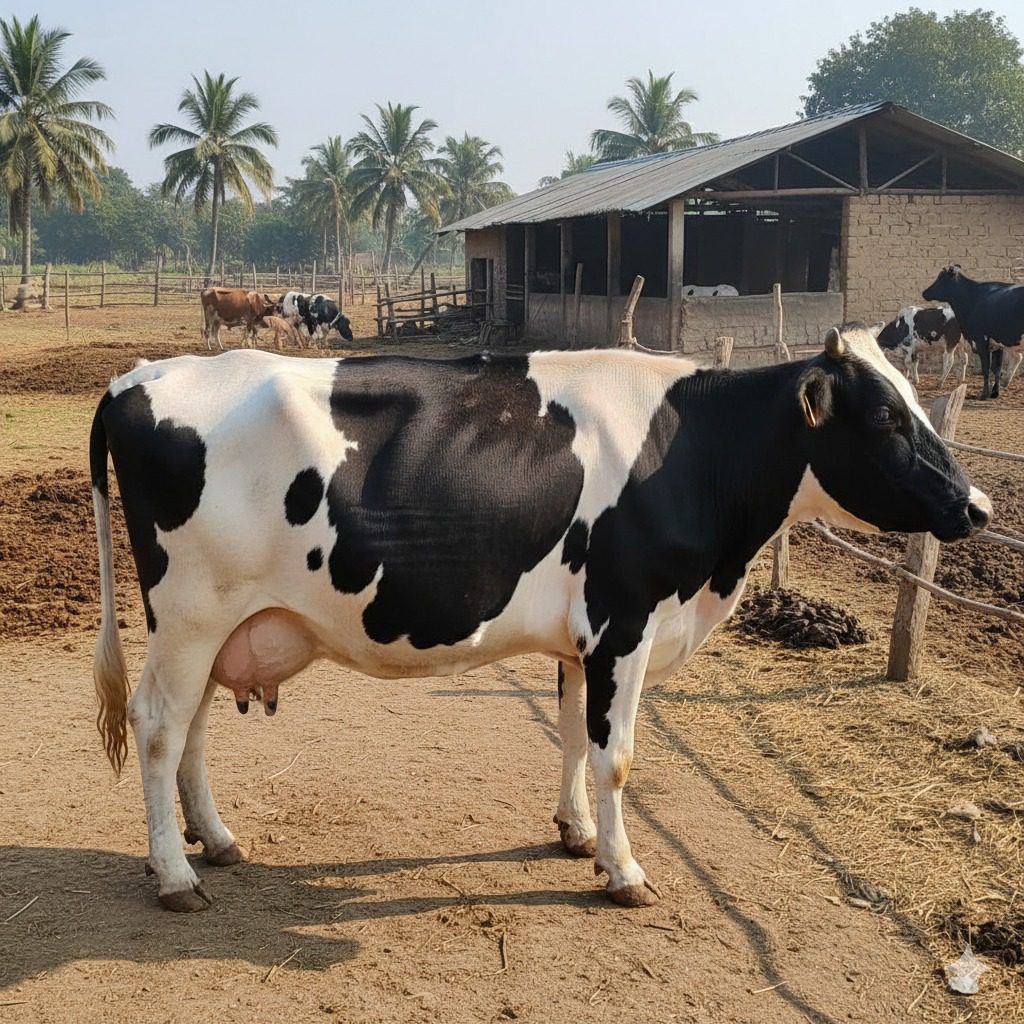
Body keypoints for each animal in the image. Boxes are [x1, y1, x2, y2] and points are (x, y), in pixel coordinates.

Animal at [89, 324, 991, 912]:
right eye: (885, 418)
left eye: (917, 404)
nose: (978, 506)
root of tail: (139, 376)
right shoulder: (625, 623)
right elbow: (617, 757)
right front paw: (626, 873)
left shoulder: (583, 639)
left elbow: (570, 735)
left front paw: (576, 834)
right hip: (191, 613)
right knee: (158, 725)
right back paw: (177, 876)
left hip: (222, 625)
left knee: (192, 728)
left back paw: (216, 840)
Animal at [922, 266, 1024, 399]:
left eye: (942, 279)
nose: (924, 292)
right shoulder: (996, 345)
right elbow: (996, 369)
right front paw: (995, 393)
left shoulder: (981, 340)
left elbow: (986, 368)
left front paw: (984, 394)